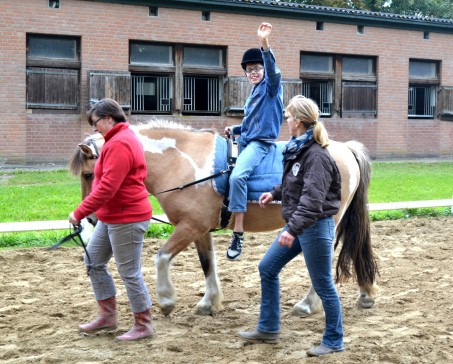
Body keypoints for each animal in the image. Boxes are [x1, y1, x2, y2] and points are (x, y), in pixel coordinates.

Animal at [68, 121, 378, 318]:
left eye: (89, 174)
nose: (91, 219)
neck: (181, 162)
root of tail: (344, 149)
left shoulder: (189, 227)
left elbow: (161, 257)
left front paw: (167, 300)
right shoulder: (199, 229)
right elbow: (208, 264)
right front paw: (209, 303)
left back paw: (308, 304)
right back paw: (365, 294)